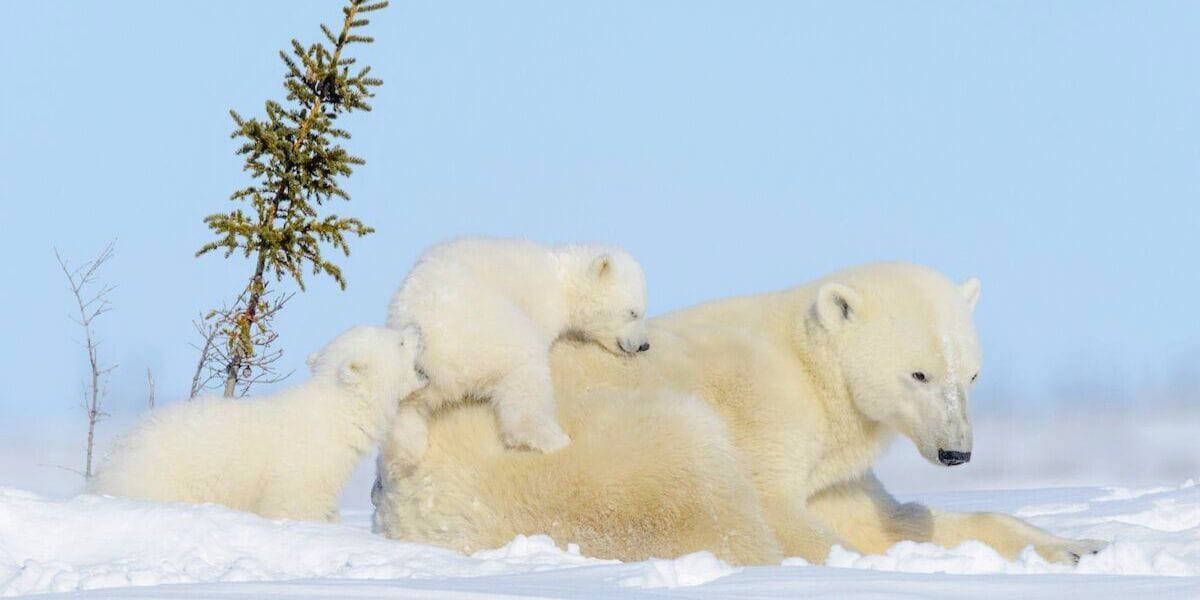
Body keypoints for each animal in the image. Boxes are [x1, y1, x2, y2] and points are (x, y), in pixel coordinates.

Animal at [91, 325, 427, 522]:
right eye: (399, 340)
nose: (417, 329)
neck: (334, 415)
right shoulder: (299, 470)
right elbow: (294, 506)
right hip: (160, 482)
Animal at [372, 262, 1106, 565]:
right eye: (918, 372)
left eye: (972, 374)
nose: (957, 452)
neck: (809, 365)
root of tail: (400, 500)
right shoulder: (765, 406)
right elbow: (777, 504)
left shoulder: (836, 466)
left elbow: (889, 519)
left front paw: (1079, 546)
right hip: (562, 462)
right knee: (695, 485)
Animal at [381, 236, 650, 480]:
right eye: (633, 312)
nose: (644, 345)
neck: (561, 279)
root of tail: (432, 349)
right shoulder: (543, 306)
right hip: (493, 333)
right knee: (526, 383)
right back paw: (556, 440)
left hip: (412, 376)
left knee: (407, 410)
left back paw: (403, 459)